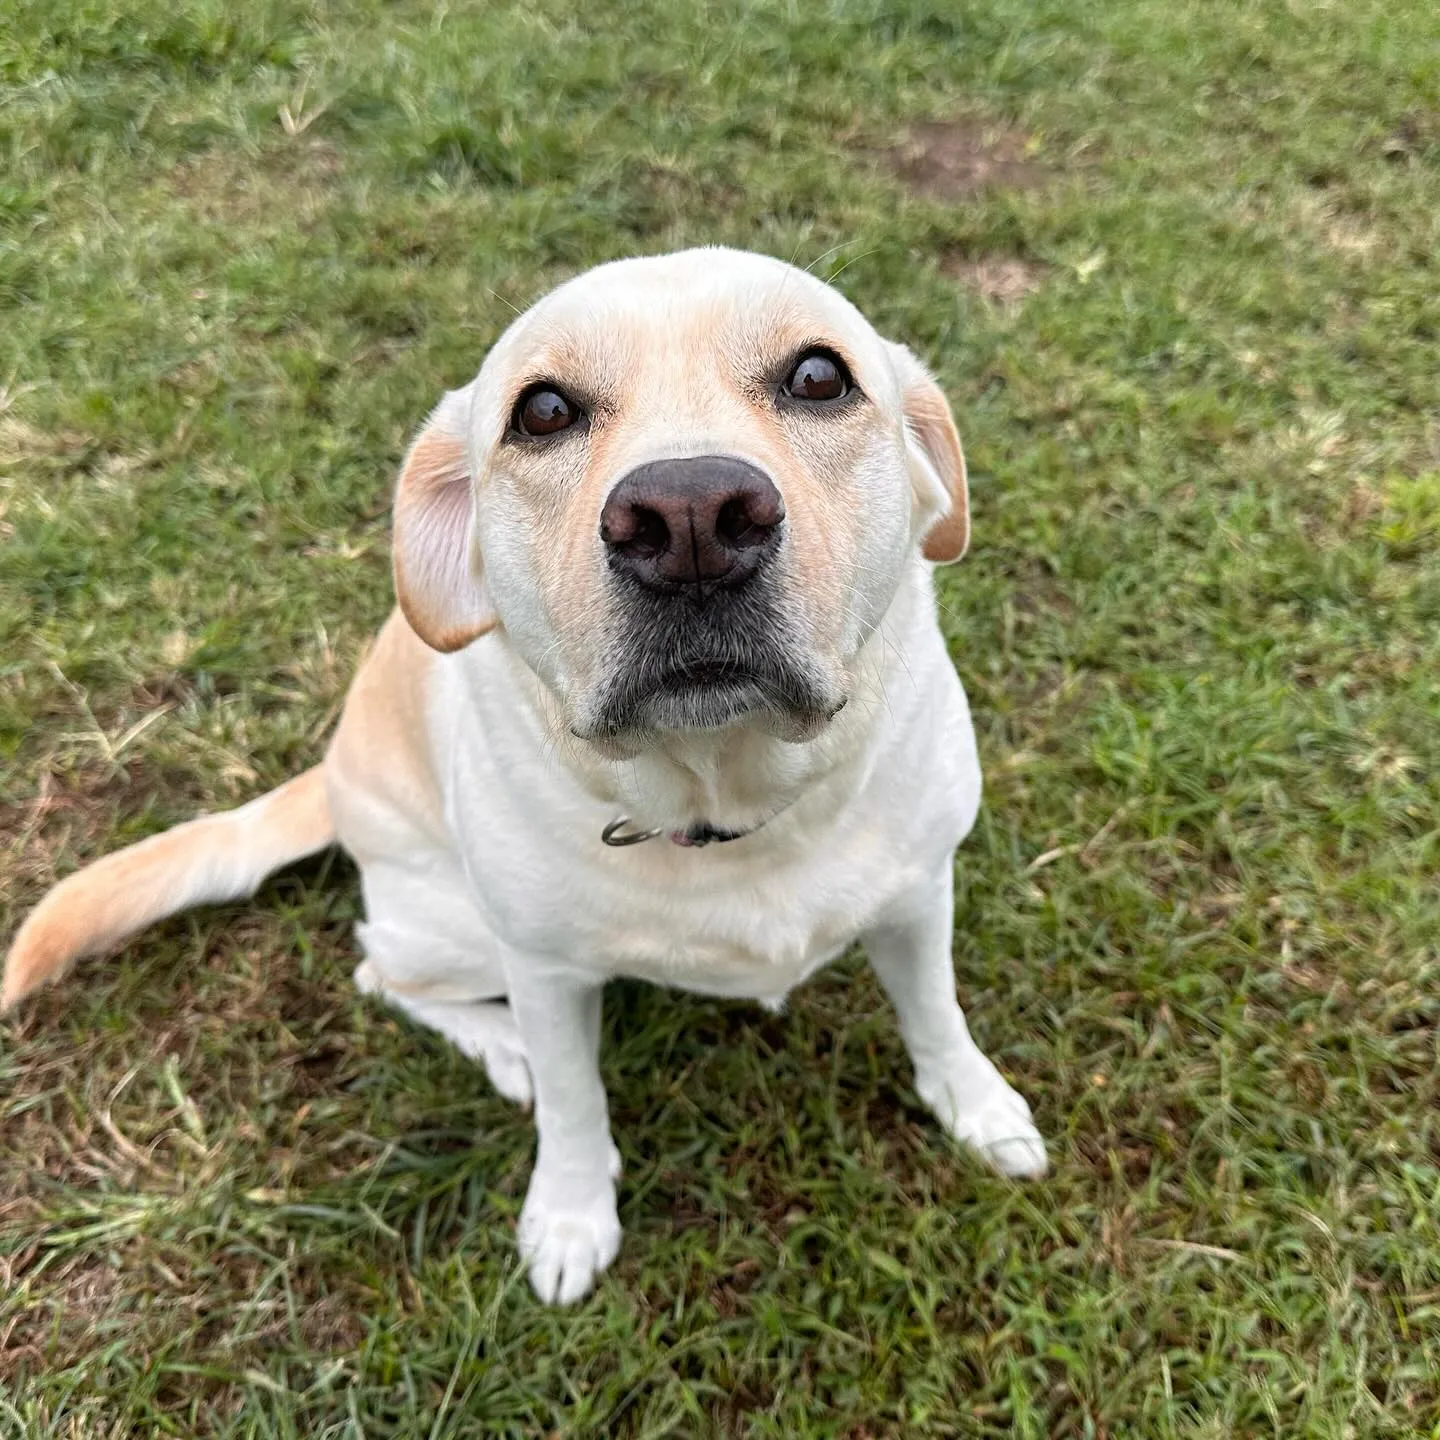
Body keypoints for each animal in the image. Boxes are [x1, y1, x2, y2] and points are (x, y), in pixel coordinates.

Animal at [5, 247, 1054, 1307]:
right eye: (543, 411)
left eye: (818, 377)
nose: (689, 519)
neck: (725, 802)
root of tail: (330, 776)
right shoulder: (546, 971)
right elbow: (573, 1101)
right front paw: (571, 1214)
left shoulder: (919, 894)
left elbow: (935, 1011)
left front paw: (975, 1106)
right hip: (465, 930)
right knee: (381, 971)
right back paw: (502, 1048)